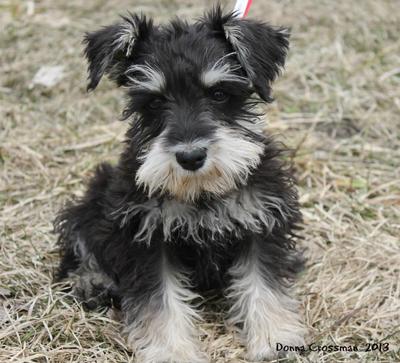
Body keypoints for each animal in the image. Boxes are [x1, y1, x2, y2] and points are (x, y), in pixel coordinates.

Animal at [54, 6, 306, 363]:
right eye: (155, 102)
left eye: (218, 93)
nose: (191, 156)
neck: (201, 191)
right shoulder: (146, 237)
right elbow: (161, 301)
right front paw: (171, 351)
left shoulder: (262, 222)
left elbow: (263, 282)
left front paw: (274, 337)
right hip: (96, 193)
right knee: (80, 239)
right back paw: (92, 280)